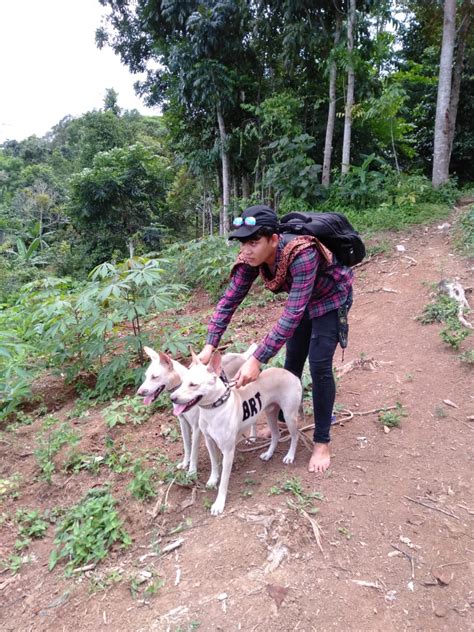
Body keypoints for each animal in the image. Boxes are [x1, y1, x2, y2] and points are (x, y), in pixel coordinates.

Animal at [137, 346, 256, 474]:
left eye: (155, 377)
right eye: (146, 376)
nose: (139, 392)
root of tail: (243, 356)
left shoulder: (196, 427)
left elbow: (194, 450)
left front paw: (192, 470)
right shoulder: (183, 423)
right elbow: (187, 446)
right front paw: (185, 463)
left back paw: (253, 437)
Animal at [170, 350, 302, 512]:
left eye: (193, 384)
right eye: (182, 382)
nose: (172, 398)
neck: (215, 408)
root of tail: (292, 375)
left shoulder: (228, 452)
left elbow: (224, 481)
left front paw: (219, 503)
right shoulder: (209, 442)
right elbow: (214, 464)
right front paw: (213, 479)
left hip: (289, 416)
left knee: (295, 436)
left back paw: (290, 456)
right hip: (270, 413)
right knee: (276, 435)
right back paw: (268, 454)